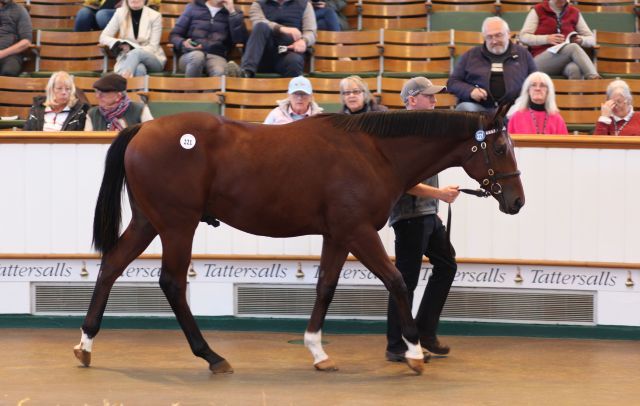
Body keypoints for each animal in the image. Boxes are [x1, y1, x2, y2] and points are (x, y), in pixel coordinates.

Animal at [76, 104, 524, 374]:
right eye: (502, 146)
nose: (517, 201)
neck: (373, 152)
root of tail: (142, 129)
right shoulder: (359, 232)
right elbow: (397, 281)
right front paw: (414, 353)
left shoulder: (338, 235)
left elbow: (325, 286)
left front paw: (318, 351)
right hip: (177, 225)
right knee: (171, 282)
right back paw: (211, 355)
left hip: (148, 222)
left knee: (111, 265)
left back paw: (86, 344)